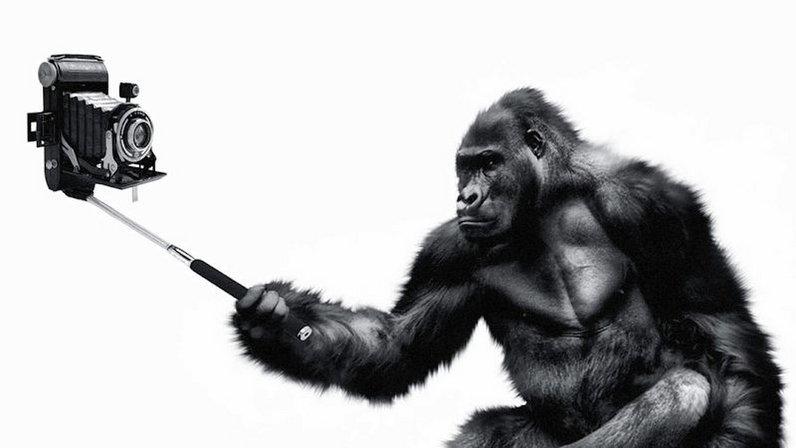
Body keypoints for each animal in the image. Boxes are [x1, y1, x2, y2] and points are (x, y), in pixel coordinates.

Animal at [231, 88, 782, 447]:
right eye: (464, 166)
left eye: (490, 163)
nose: (466, 196)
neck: (547, 199)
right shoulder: (447, 250)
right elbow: (397, 346)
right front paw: (271, 318)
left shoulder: (655, 205)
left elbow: (719, 322)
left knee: (686, 387)